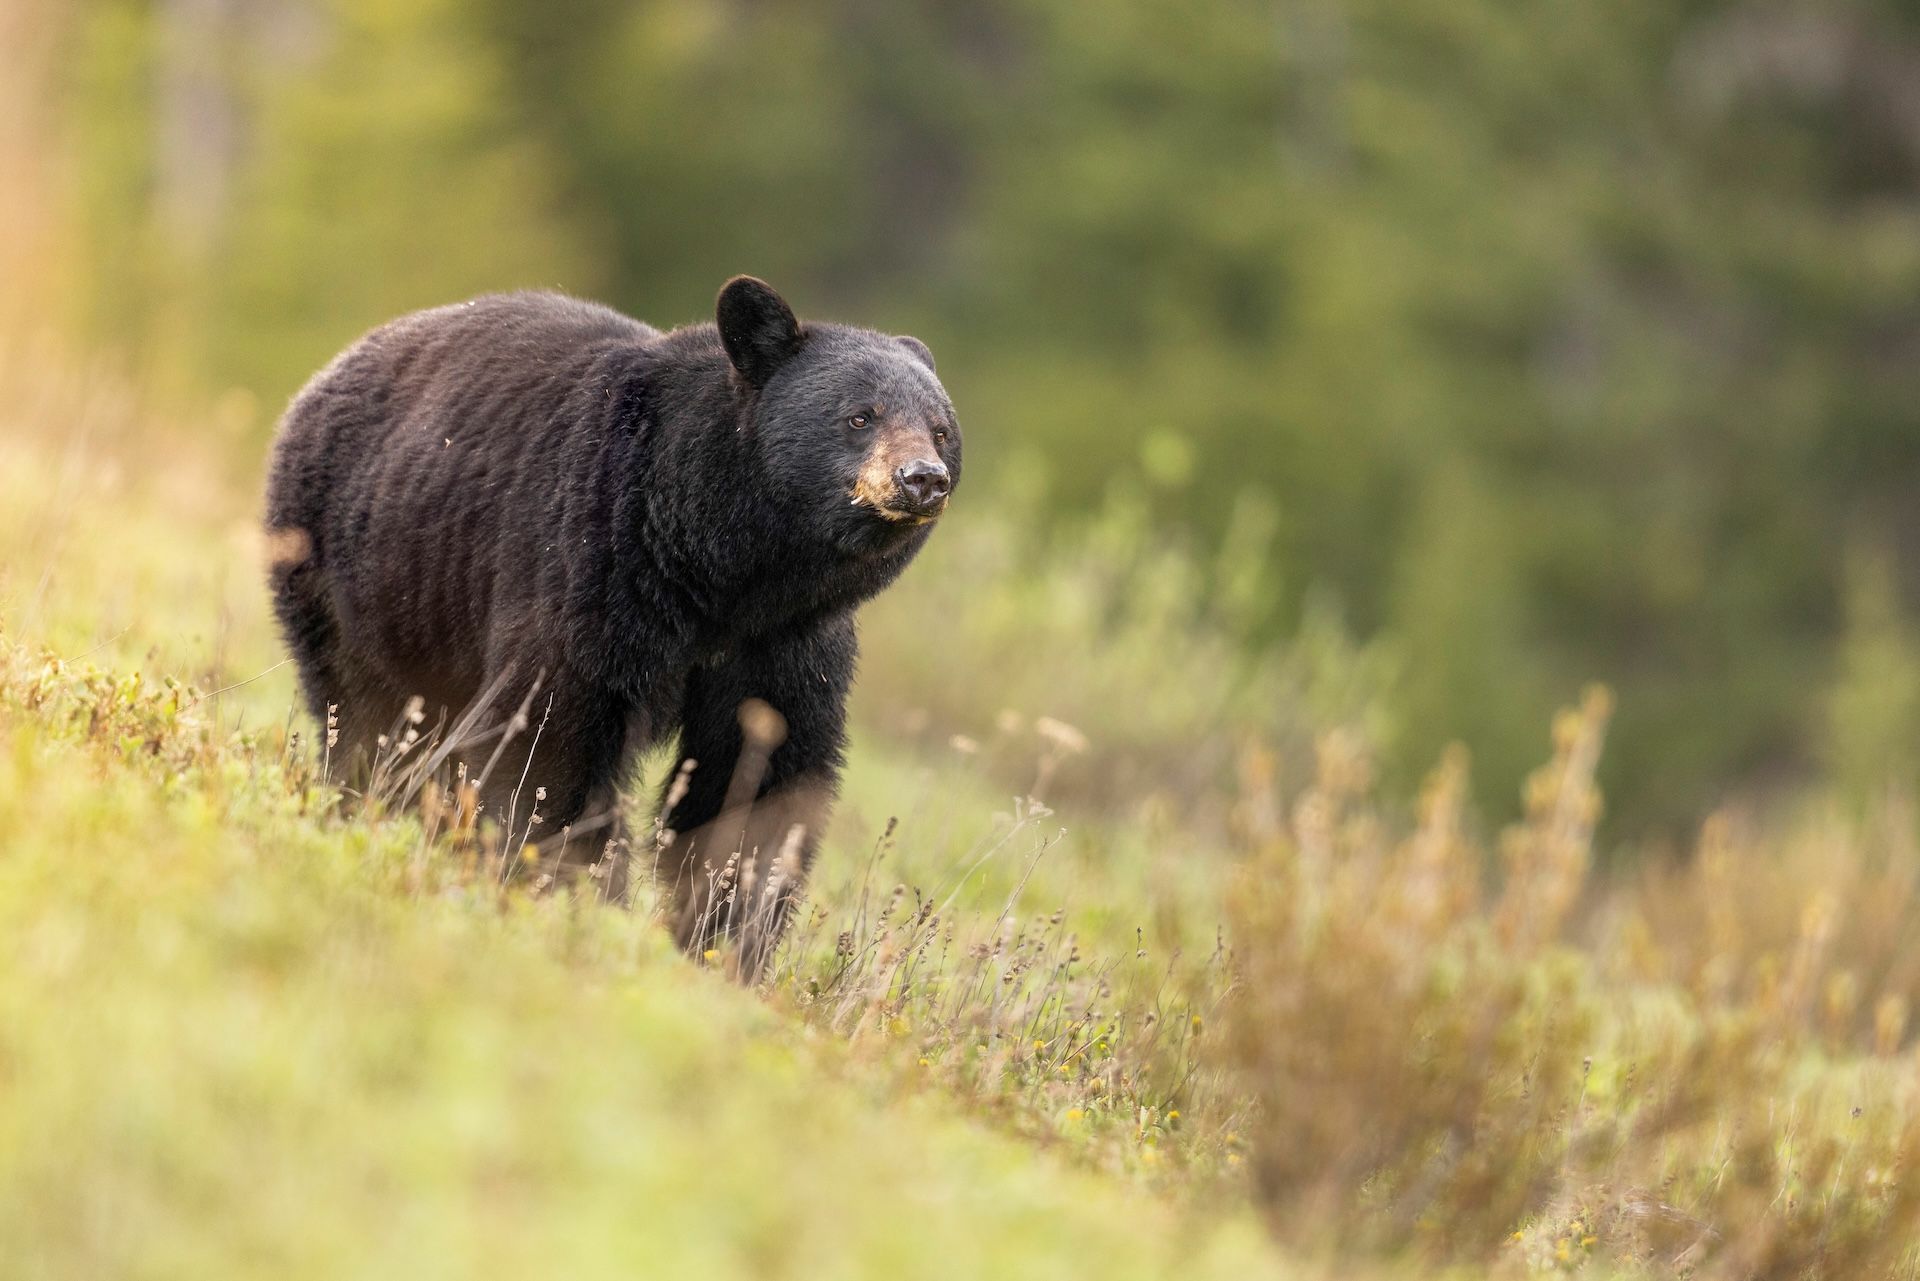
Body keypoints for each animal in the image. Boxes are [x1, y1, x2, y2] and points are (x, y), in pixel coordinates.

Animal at [264, 276, 960, 977]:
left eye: (941, 429)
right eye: (860, 415)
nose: (922, 478)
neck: (721, 570)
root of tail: (328, 373)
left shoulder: (787, 641)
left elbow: (760, 777)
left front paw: (724, 939)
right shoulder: (593, 565)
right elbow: (554, 743)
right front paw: (575, 893)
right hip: (360, 582)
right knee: (371, 720)